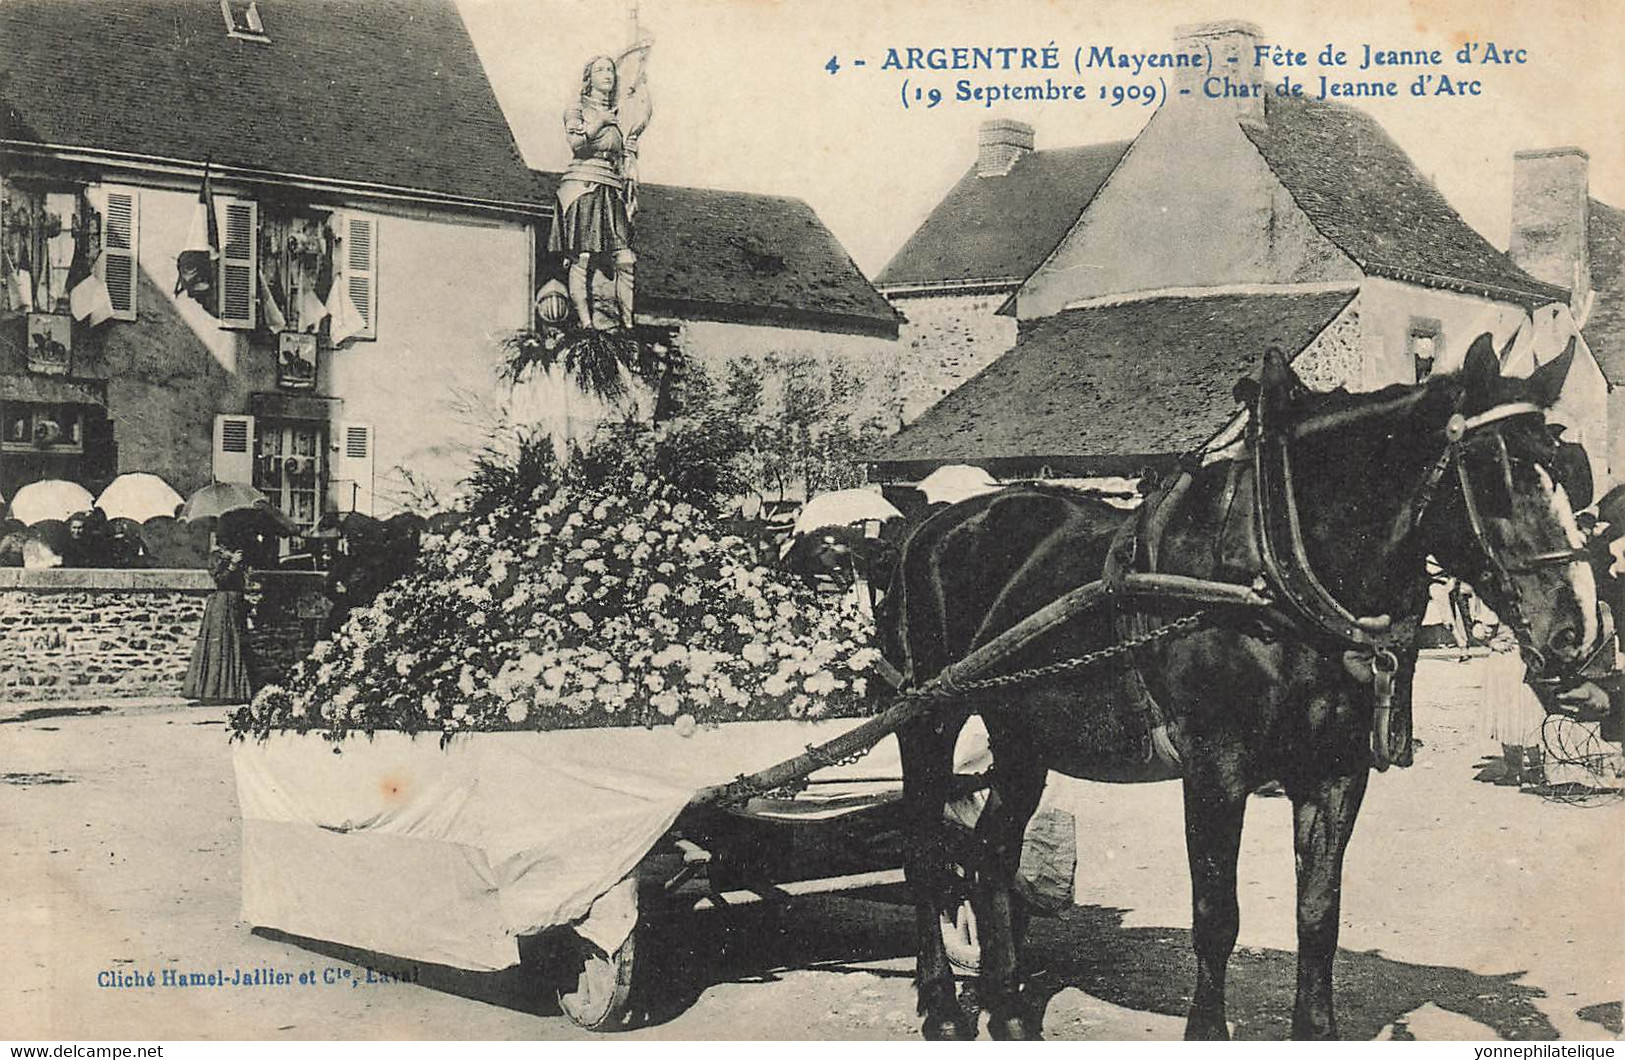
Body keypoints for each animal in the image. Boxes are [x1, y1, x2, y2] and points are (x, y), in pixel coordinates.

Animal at [884, 334, 1592, 1040]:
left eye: (1569, 463)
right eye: (1500, 469)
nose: (1577, 629)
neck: (1275, 573)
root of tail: (932, 525)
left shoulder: (1334, 772)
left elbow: (1319, 913)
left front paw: (1316, 1029)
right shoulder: (1215, 771)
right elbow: (1216, 916)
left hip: (1022, 738)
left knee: (990, 854)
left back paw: (1006, 1007)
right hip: (930, 719)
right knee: (924, 852)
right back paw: (942, 1004)